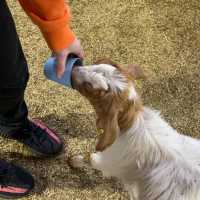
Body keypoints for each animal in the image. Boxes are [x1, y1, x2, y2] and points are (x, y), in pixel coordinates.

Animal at [69, 59, 200, 200]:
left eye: (89, 86)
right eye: (95, 65)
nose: (73, 69)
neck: (132, 123)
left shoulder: (111, 161)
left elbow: (92, 159)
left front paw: (73, 161)